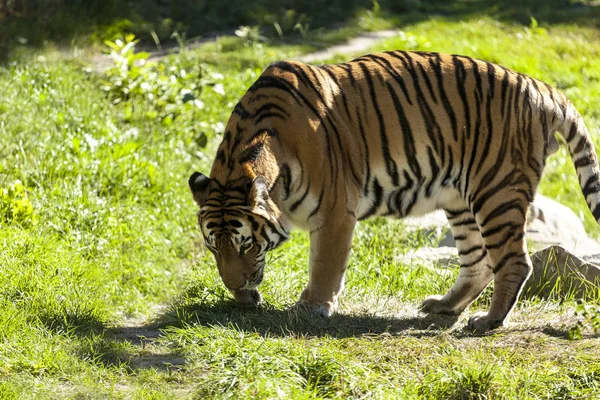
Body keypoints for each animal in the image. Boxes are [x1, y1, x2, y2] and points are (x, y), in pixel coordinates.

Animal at [189, 50, 600, 332]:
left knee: (514, 261)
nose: (237, 286)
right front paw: (246, 296)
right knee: (479, 261)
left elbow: (324, 264)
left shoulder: (336, 211)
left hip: (496, 191)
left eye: (246, 243)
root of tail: (541, 87)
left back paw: (488, 322)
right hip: (462, 200)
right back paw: (444, 306)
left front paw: (312, 305)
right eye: (214, 247)